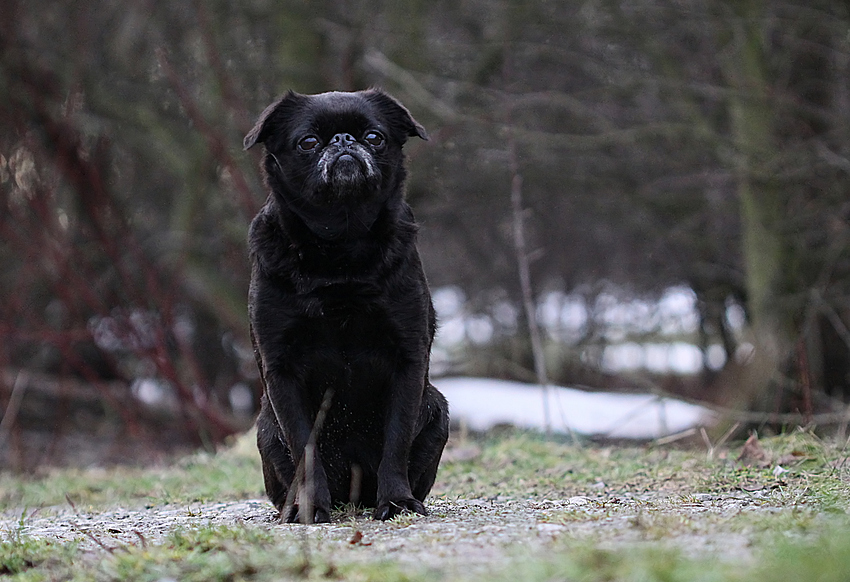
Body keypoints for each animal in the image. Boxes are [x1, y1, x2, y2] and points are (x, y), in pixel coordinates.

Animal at [242, 90, 448, 524]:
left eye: (374, 137)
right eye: (307, 142)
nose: (343, 140)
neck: (341, 245)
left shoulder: (408, 360)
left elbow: (396, 441)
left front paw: (397, 502)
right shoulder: (281, 370)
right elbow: (304, 448)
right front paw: (309, 509)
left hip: (436, 407)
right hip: (267, 427)